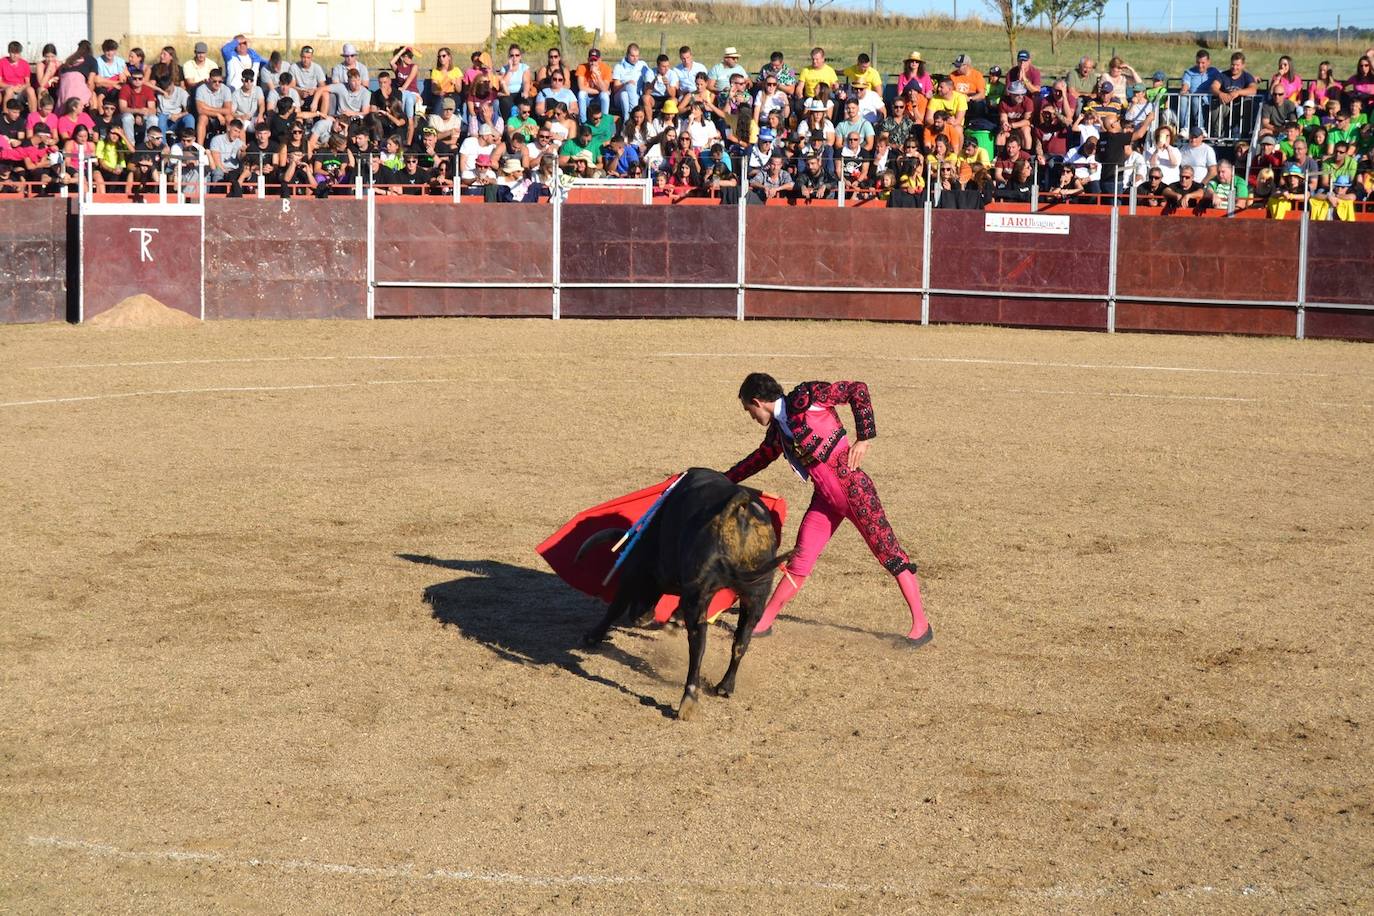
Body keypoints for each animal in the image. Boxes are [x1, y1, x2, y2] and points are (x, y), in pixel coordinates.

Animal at [574, 469, 791, 719]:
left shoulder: (635, 569)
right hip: (756, 595)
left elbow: (616, 605)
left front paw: (592, 636)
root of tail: (741, 508)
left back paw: (688, 699)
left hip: (701, 594)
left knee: (698, 642)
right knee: (741, 641)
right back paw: (724, 687)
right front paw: (672, 621)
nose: (641, 616)